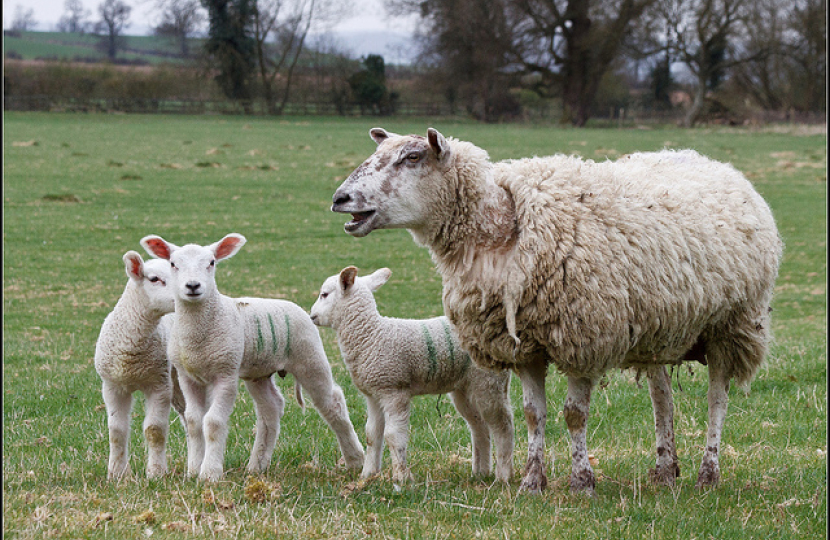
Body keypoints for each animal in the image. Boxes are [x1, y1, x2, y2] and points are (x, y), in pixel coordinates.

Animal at [94, 250, 186, 480]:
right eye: (154, 279)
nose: (188, 292)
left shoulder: (159, 384)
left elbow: (154, 430)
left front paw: (156, 473)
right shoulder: (112, 386)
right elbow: (116, 431)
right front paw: (117, 474)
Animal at [140, 233, 365, 481]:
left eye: (211, 263)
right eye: (173, 264)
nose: (193, 286)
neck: (199, 335)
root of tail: (294, 307)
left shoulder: (226, 373)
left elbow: (213, 422)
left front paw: (210, 473)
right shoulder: (187, 376)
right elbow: (194, 421)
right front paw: (193, 470)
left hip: (309, 356)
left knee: (333, 402)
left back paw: (355, 459)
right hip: (260, 372)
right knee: (271, 408)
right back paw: (257, 465)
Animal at [310, 266, 514, 484]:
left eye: (324, 294)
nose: (311, 315)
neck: (371, 336)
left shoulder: (394, 390)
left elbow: (393, 436)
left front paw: (400, 477)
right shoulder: (374, 394)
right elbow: (372, 435)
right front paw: (368, 475)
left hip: (489, 382)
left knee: (503, 425)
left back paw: (503, 475)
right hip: (465, 388)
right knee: (479, 426)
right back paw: (480, 472)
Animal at [330, 128, 782, 494]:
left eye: (411, 157)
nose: (340, 199)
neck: (503, 230)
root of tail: (712, 162)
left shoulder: (584, 336)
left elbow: (574, 415)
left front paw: (582, 480)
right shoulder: (523, 345)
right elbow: (533, 414)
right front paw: (532, 481)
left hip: (732, 325)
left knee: (717, 398)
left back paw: (708, 473)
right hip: (659, 326)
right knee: (662, 398)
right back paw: (664, 470)